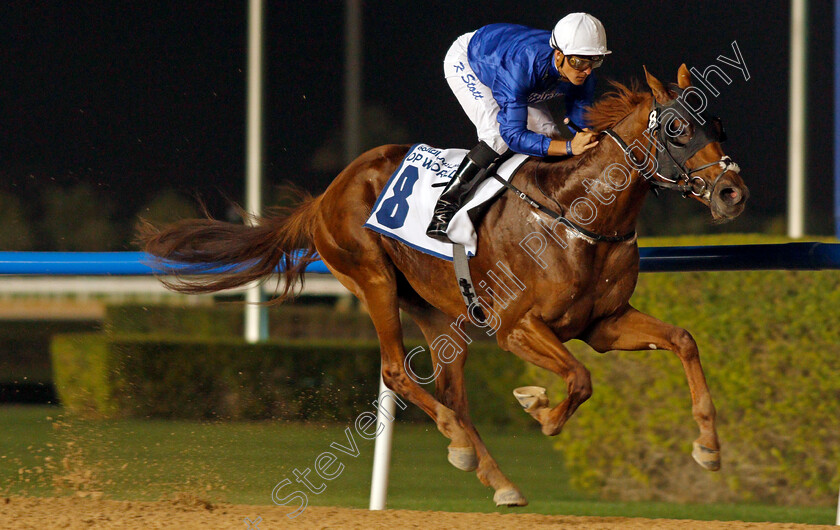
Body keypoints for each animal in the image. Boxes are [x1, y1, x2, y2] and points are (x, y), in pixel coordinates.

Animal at [138, 64, 748, 506]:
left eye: (718, 126)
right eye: (676, 127)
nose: (732, 193)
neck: (577, 213)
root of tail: (326, 193)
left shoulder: (604, 323)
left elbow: (683, 340)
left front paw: (709, 448)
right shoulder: (516, 327)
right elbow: (579, 379)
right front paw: (537, 406)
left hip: (437, 311)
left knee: (452, 389)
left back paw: (493, 476)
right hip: (373, 278)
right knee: (397, 371)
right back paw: (459, 441)